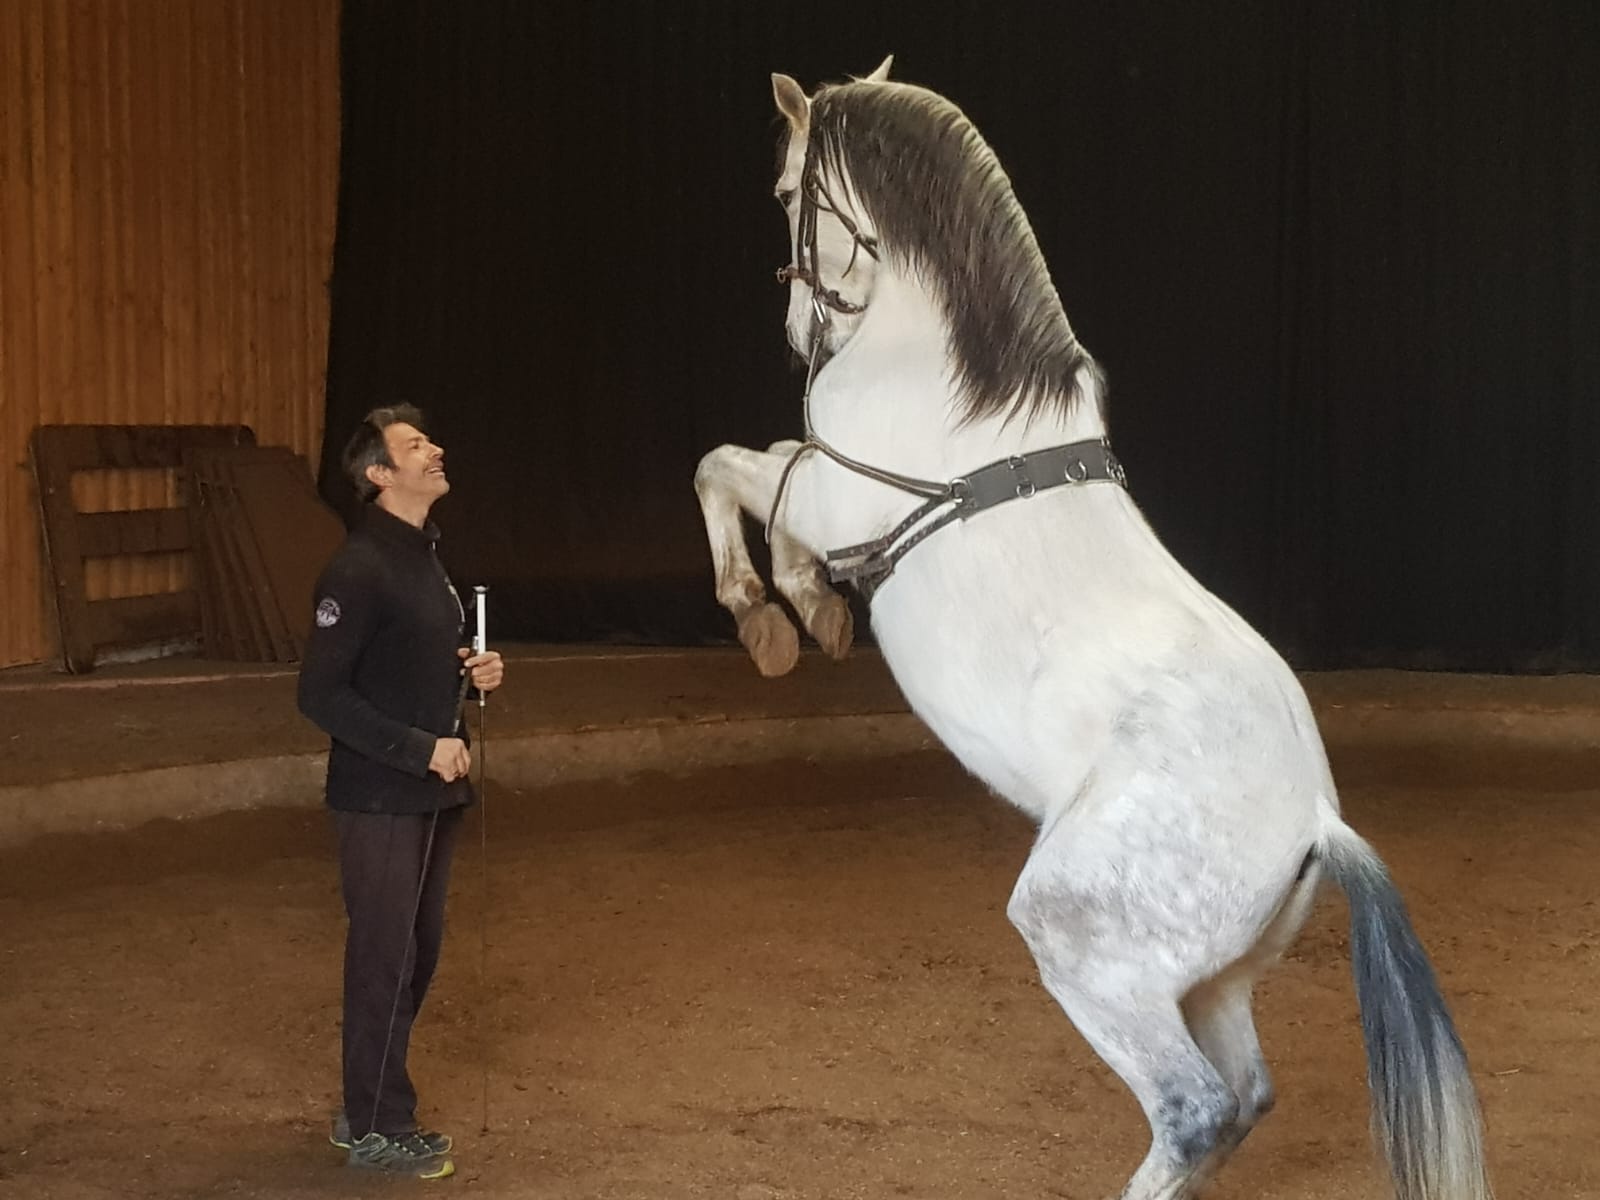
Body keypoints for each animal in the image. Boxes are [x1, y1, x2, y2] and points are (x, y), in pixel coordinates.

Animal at [693, 58, 1491, 1200]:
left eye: (783, 191)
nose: (806, 335)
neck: (932, 366)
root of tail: (1315, 827)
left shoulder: (825, 494)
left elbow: (723, 467)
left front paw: (778, 613)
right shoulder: (812, 485)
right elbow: (736, 467)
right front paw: (800, 613)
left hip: (1081, 944)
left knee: (1196, 1108)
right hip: (1211, 983)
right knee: (1245, 1095)